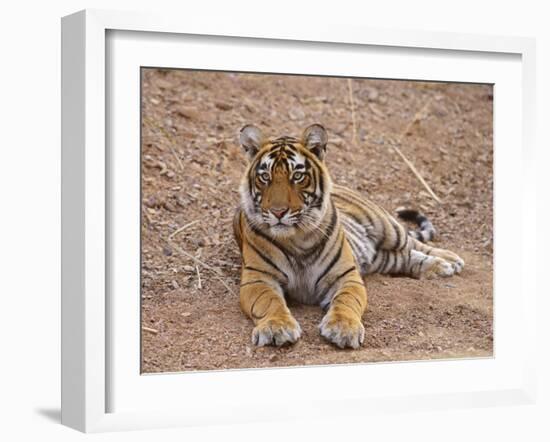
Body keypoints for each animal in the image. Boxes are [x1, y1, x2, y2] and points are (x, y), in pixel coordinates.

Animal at [233, 123, 466, 348]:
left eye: (297, 176)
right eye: (265, 177)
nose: (278, 212)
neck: (296, 237)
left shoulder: (346, 275)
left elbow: (346, 301)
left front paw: (343, 329)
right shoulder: (258, 278)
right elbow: (268, 301)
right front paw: (276, 328)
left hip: (387, 228)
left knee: (413, 243)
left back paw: (450, 260)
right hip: (382, 259)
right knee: (406, 256)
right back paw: (439, 266)